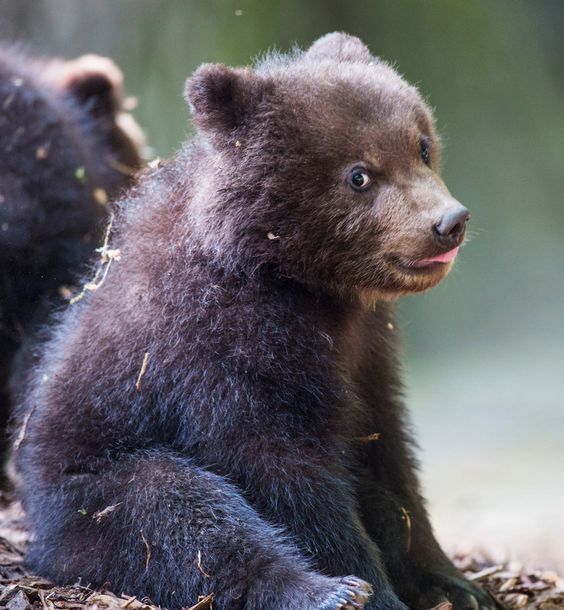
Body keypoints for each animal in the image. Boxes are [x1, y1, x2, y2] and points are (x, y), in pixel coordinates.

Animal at [15, 34, 496, 608]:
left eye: (421, 145)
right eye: (359, 174)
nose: (449, 222)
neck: (298, 281)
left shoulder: (368, 349)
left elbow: (389, 456)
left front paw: (456, 582)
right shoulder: (220, 347)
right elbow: (278, 467)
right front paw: (367, 588)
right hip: (91, 484)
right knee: (173, 510)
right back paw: (318, 590)